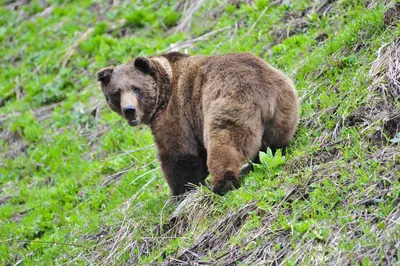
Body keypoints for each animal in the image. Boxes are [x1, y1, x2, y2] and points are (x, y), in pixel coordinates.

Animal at [95, 53, 298, 196]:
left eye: (136, 88)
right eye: (117, 92)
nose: (129, 110)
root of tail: (263, 93)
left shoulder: (175, 113)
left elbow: (179, 154)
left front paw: (180, 191)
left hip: (227, 104)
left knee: (224, 142)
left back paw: (222, 184)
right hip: (284, 106)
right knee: (275, 142)